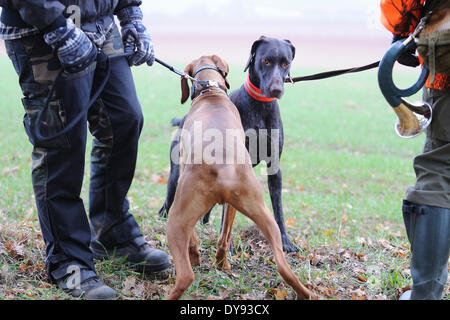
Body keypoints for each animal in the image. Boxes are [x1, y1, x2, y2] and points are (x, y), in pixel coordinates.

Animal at [158, 36, 298, 252]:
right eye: (265, 61)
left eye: (285, 63)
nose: (276, 89)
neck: (259, 106)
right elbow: (227, 212)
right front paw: (228, 244)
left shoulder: (274, 168)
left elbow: (278, 209)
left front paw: (285, 241)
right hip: (176, 174)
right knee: (169, 202)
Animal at [166, 54, 316, 300]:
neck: (211, 93)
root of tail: (221, 165)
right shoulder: (232, 207)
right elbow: (224, 237)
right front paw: (222, 264)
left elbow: (195, 237)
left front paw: (197, 255)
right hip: (266, 217)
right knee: (285, 269)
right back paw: (306, 292)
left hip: (175, 221)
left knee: (186, 276)